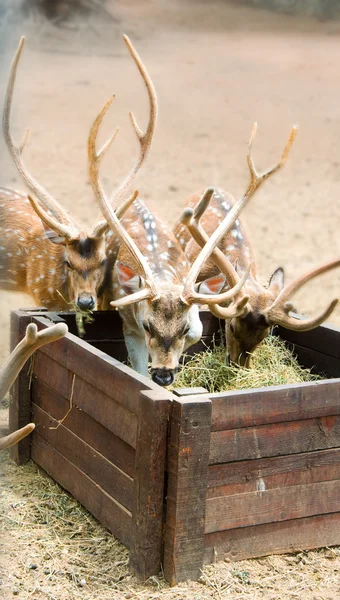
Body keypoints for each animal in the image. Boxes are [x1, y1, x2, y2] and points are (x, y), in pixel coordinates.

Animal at [87, 101, 250, 386]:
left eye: (183, 328)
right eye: (147, 325)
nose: (164, 375)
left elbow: (197, 330)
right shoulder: (129, 322)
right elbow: (138, 369)